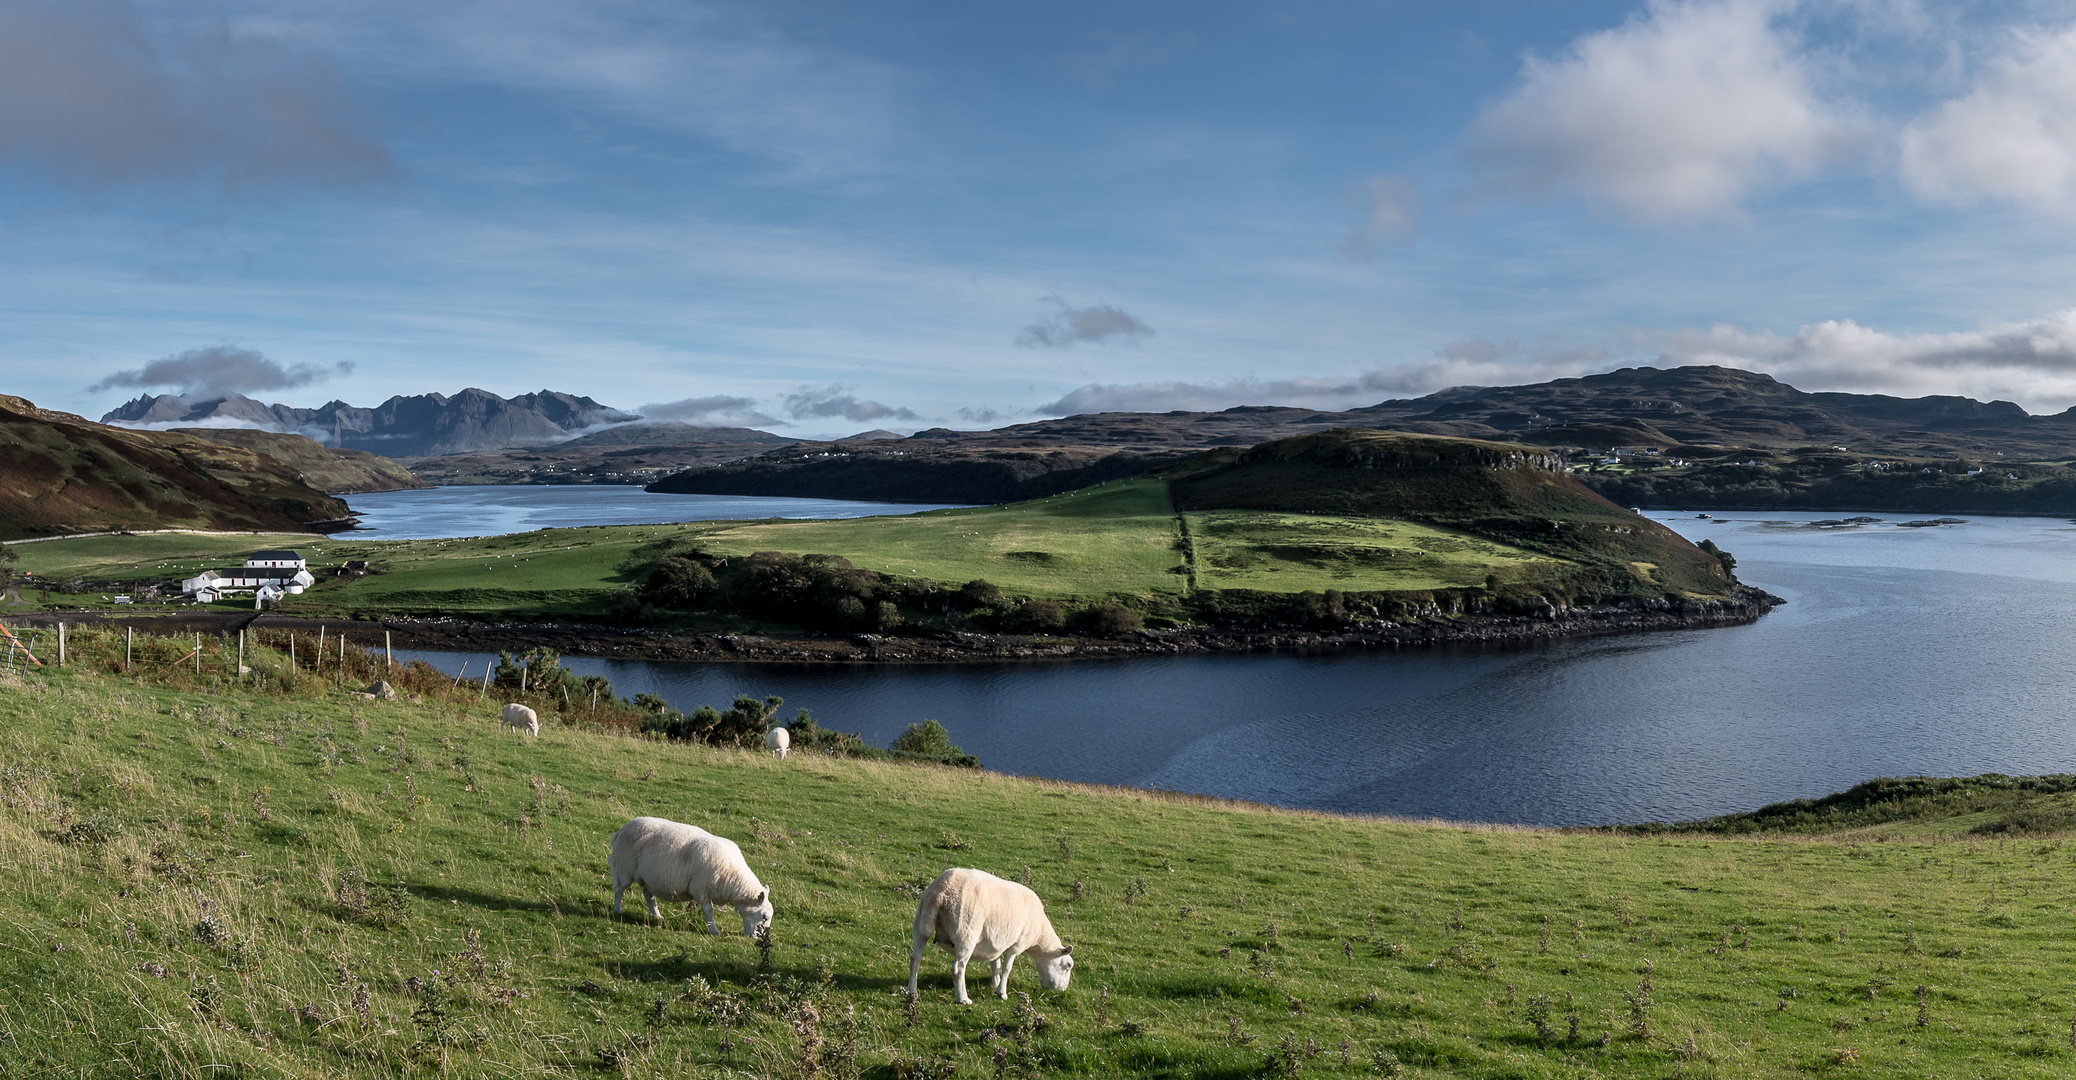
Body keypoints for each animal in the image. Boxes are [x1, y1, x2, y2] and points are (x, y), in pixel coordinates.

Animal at [606, 814, 772, 930]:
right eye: (764, 916)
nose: (761, 937)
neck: (733, 877)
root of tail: (621, 831)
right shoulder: (700, 890)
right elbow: (709, 911)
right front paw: (714, 931)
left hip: (645, 877)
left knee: (648, 895)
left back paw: (656, 915)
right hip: (624, 869)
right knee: (619, 890)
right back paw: (617, 910)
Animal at [905, 864, 1071, 1009]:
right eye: (1068, 965)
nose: (1062, 990)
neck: (1039, 936)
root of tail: (942, 891)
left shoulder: (995, 941)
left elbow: (995, 963)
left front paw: (994, 983)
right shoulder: (1016, 945)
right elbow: (1007, 968)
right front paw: (1001, 993)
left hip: (920, 922)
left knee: (915, 958)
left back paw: (911, 990)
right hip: (966, 932)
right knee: (958, 968)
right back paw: (962, 999)